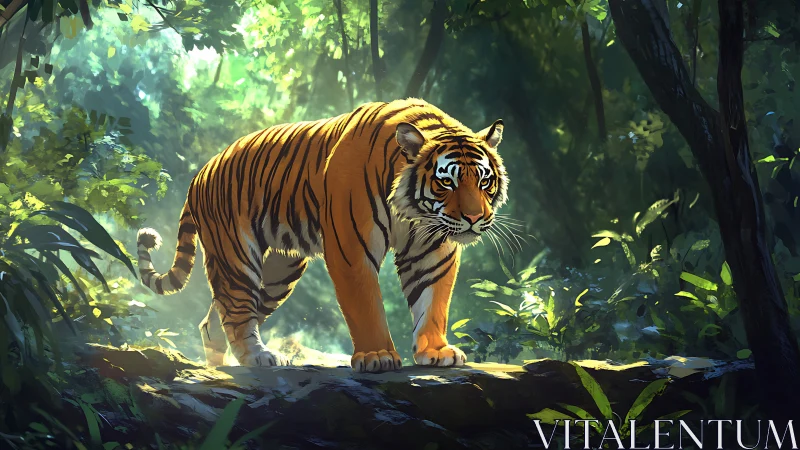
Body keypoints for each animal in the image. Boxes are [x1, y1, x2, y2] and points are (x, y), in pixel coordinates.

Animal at [135, 98, 508, 373]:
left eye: (484, 181)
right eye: (447, 182)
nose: (475, 218)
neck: (413, 212)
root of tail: (200, 173)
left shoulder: (432, 247)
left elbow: (432, 300)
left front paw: (437, 351)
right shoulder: (351, 247)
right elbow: (365, 305)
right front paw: (377, 356)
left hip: (277, 273)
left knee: (218, 315)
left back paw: (218, 366)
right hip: (236, 254)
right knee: (237, 310)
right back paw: (257, 357)